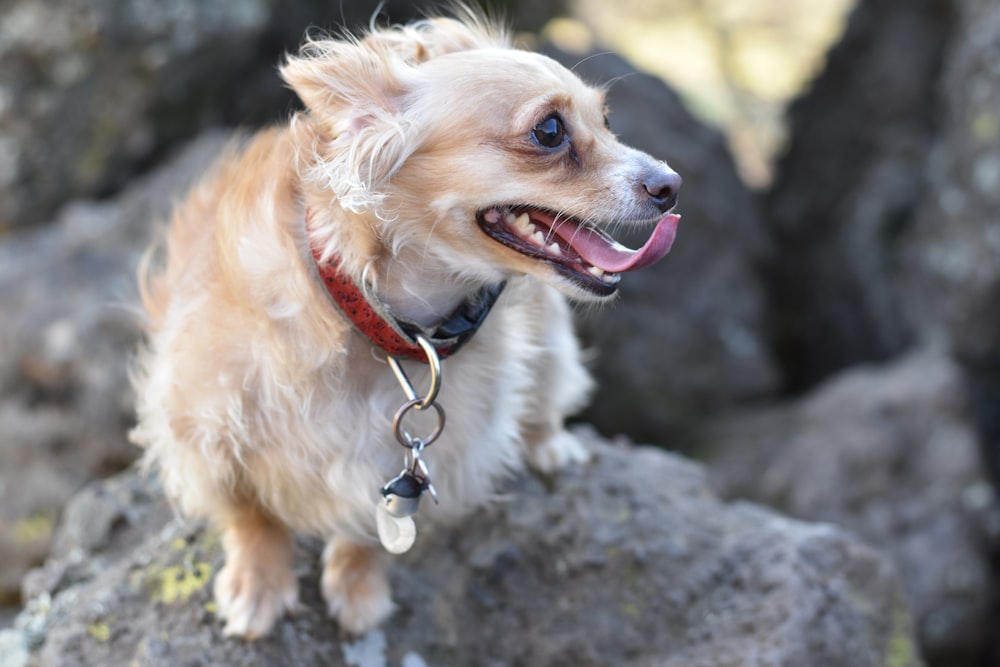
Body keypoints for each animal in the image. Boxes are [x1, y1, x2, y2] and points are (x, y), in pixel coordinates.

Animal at [131, 7, 680, 640]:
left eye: (607, 121)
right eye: (549, 131)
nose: (671, 183)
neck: (383, 321)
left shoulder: (422, 454)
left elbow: (373, 524)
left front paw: (357, 586)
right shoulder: (202, 426)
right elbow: (251, 513)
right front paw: (258, 584)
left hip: (547, 335)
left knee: (547, 388)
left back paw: (548, 442)